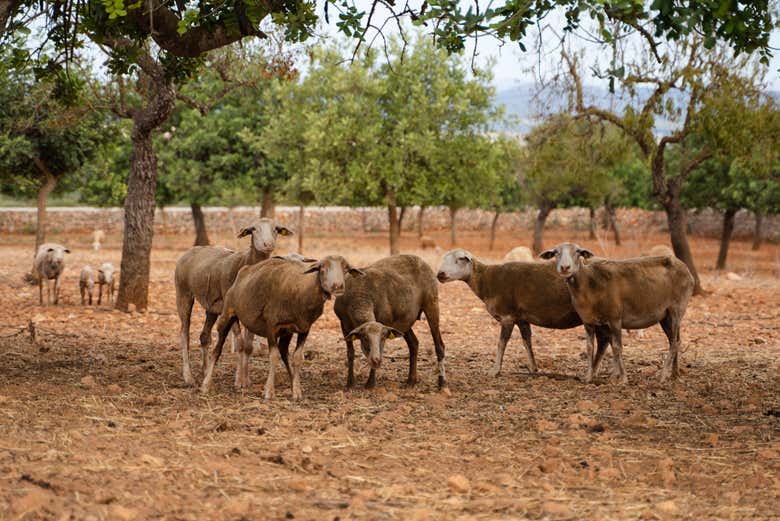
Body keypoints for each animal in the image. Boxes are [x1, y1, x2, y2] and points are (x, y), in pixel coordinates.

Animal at [174, 219, 293, 387]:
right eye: (254, 229)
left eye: (276, 229)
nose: (268, 244)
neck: (245, 261)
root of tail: (189, 251)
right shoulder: (231, 308)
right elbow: (240, 343)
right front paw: (239, 381)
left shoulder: (252, 310)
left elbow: (248, 345)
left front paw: (246, 379)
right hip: (183, 292)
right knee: (184, 334)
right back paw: (188, 377)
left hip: (212, 306)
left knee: (204, 336)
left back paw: (205, 372)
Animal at [200, 255, 363, 400]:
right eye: (322, 268)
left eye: (346, 269)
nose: (338, 286)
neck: (301, 292)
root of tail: (243, 271)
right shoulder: (271, 326)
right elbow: (273, 356)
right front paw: (269, 392)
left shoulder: (304, 328)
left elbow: (296, 358)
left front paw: (297, 391)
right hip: (228, 314)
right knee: (217, 350)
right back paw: (206, 384)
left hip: (286, 331)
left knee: (283, 351)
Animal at [334, 254, 447, 389]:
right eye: (365, 338)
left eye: (383, 338)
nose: (376, 361)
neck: (360, 293)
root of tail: (421, 259)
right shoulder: (344, 325)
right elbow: (350, 353)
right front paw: (350, 383)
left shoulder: (384, 321)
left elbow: (380, 351)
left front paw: (370, 384)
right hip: (404, 321)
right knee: (414, 343)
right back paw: (411, 380)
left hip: (431, 303)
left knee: (439, 345)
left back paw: (442, 383)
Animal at [436, 249, 610, 377]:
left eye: (460, 259)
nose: (440, 275)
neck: (487, 280)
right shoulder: (521, 318)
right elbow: (527, 340)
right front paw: (533, 368)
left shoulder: (507, 316)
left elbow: (501, 343)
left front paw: (494, 370)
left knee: (603, 341)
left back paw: (593, 371)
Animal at [540, 243, 694, 383]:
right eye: (555, 253)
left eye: (577, 252)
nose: (565, 267)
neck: (589, 286)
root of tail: (687, 270)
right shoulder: (588, 321)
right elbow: (591, 347)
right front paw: (590, 377)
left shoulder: (615, 318)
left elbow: (617, 347)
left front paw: (623, 379)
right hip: (665, 316)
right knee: (676, 340)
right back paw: (674, 374)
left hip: (677, 308)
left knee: (674, 343)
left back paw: (662, 376)